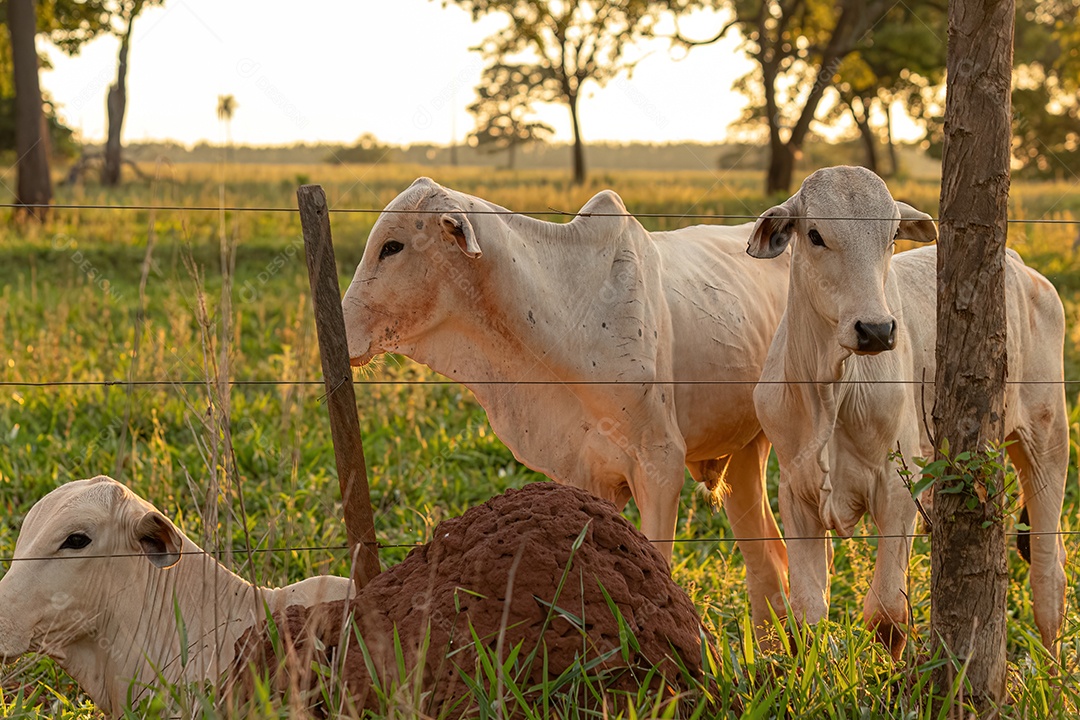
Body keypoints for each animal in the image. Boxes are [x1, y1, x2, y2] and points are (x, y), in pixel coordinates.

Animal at [342, 177, 791, 636]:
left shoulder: (660, 462)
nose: (342, 329)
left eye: (392, 246)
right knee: (768, 556)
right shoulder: (588, 475)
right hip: (744, 453)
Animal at [747, 165, 1067, 659]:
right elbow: (807, 613)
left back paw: (1052, 669)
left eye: (892, 234)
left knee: (1049, 573)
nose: (876, 329)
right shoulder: (796, 493)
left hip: (1047, 441)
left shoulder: (897, 489)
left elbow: (886, 613)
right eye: (816, 234)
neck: (831, 387)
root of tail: (1021, 268)